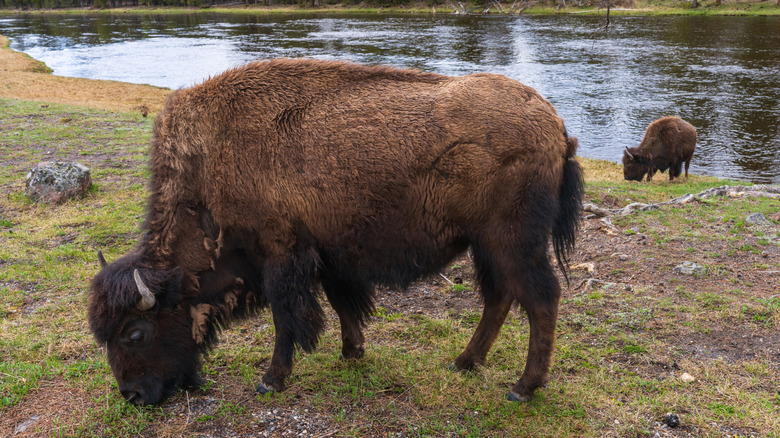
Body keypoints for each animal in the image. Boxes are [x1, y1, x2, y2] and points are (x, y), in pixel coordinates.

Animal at [89, 58, 583, 406]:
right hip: (486, 246)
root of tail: (556, 125)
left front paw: (271, 381)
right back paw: (464, 363)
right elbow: (343, 303)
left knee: (540, 298)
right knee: (499, 298)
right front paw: (352, 351)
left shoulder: (281, 256)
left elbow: (287, 317)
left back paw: (522, 388)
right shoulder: (327, 255)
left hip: (513, 242)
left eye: (136, 333)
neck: (209, 164)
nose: (133, 396)